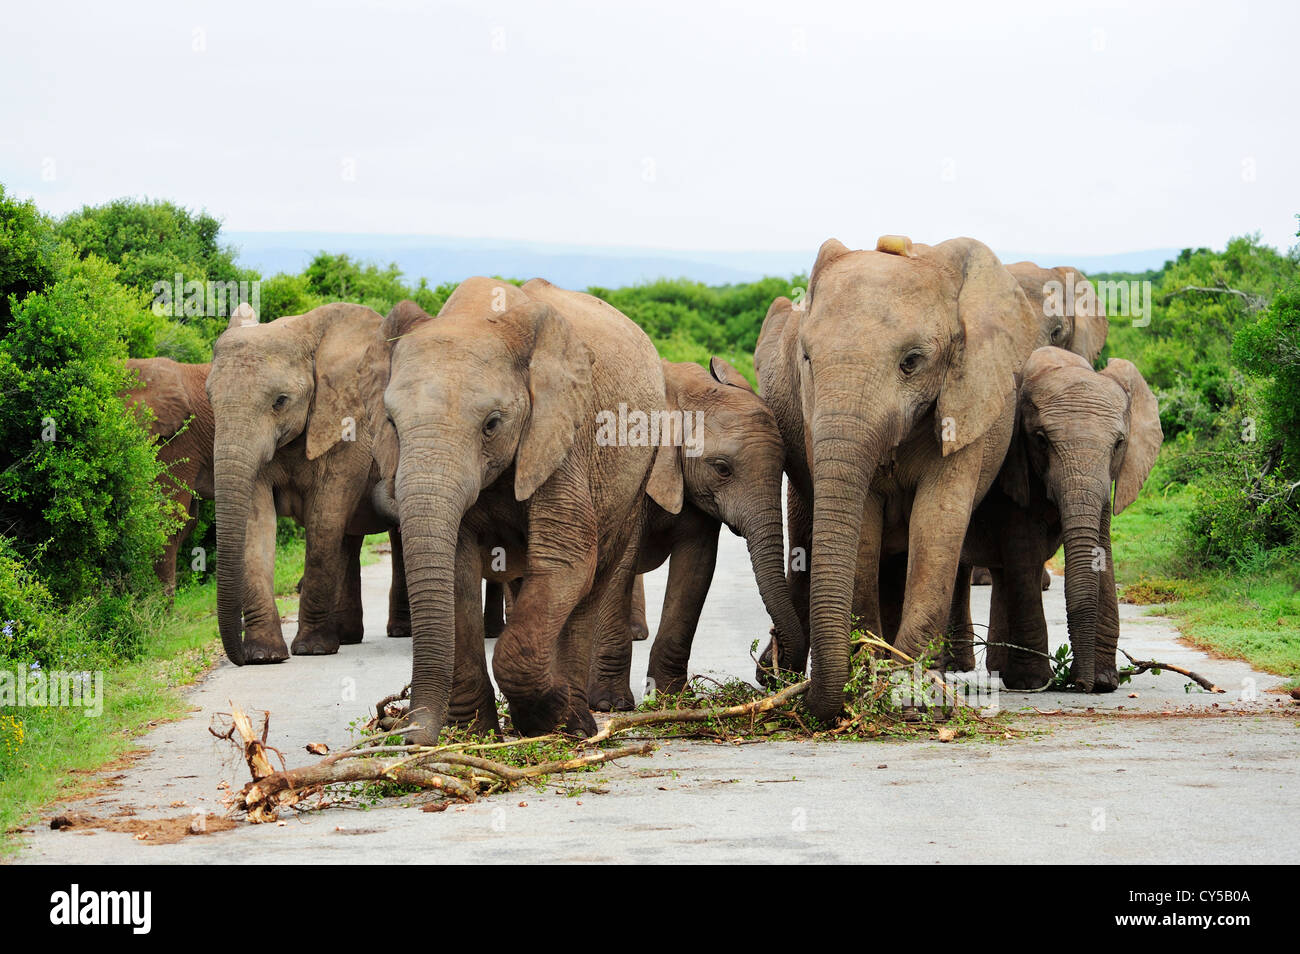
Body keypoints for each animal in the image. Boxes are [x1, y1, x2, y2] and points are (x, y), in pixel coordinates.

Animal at [206, 302, 405, 670]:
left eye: (280, 401)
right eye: (209, 398)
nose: (237, 658)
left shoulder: (350, 426)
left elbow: (323, 519)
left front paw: (312, 649)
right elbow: (257, 522)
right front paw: (264, 655)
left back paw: (395, 632)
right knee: (348, 539)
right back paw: (347, 637)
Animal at [366, 280, 681, 743]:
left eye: (492, 424)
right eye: (390, 422)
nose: (405, 734)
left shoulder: (561, 434)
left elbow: (566, 559)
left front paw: (549, 719)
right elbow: (457, 568)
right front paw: (474, 736)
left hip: (635, 475)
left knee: (596, 577)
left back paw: (576, 722)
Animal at [759, 235, 1034, 722]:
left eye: (912, 362)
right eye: (806, 358)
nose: (815, 706)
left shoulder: (967, 399)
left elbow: (937, 521)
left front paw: (912, 697)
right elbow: (863, 530)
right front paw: (871, 678)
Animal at [961, 348, 1164, 691]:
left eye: (1119, 444)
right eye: (1041, 440)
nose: (1080, 684)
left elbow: (1101, 548)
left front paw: (1104, 681)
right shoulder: (1012, 468)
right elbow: (1024, 550)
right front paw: (1033, 681)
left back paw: (998, 671)